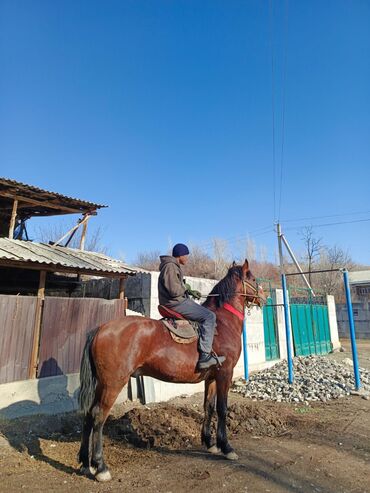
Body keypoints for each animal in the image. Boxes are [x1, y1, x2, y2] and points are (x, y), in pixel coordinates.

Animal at [78, 262, 264, 480]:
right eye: (253, 279)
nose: (264, 296)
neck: (222, 323)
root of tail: (100, 329)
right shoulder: (225, 374)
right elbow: (222, 409)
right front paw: (226, 447)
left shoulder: (211, 377)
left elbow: (208, 407)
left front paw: (210, 443)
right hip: (113, 383)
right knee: (99, 416)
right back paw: (100, 467)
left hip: (102, 384)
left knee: (89, 414)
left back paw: (85, 463)